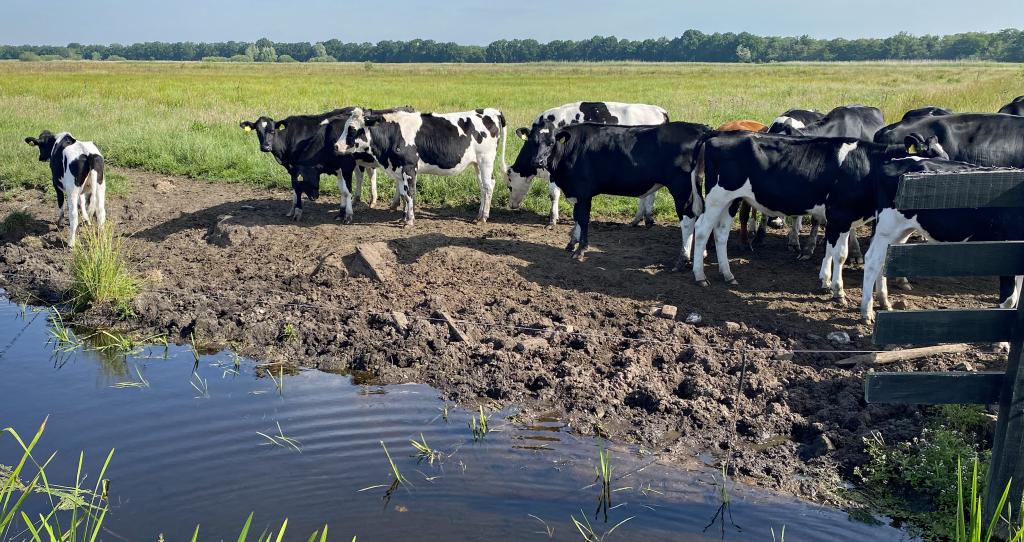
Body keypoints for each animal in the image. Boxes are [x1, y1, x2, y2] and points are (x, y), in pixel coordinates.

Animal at [335, 106, 507, 225]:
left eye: (352, 129)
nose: (336, 146)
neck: (393, 134)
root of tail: (491, 111)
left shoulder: (409, 167)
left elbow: (410, 193)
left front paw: (410, 220)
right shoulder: (399, 169)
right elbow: (403, 194)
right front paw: (404, 217)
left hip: (486, 160)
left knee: (489, 186)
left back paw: (483, 217)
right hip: (477, 164)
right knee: (483, 187)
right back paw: (478, 215)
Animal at [505, 101, 671, 226]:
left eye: (509, 185)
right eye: (533, 141)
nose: (511, 205)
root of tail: (660, 110)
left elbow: (554, 194)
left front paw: (552, 220)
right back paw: (640, 219)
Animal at [528, 121, 712, 264]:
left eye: (551, 142)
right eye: (533, 141)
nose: (538, 161)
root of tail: (699, 128)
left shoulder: (583, 192)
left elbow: (583, 218)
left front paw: (580, 250)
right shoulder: (576, 193)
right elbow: (577, 218)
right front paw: (571, 244)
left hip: (682, 187)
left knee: (688, 218)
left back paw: (683, 257)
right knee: (700, 215)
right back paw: (701, 253)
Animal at [692, 130, 946, 288]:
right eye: (930, 156)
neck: (867, 165)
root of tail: (719, 133)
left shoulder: (842, 218)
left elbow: (834, 250)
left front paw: (825, 280)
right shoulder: (840, 214)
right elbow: (839, 253)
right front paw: (836, 289)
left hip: (732, 200)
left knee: (721, 233)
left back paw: (727, 275)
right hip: (717, 197)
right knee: (703, 229)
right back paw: (700, 275)